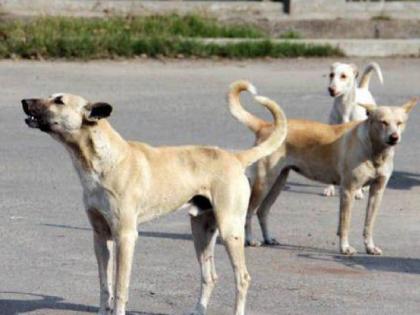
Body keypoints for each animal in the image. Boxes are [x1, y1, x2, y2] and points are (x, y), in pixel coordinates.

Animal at [324, 62, 384, 199]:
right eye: (331, 75)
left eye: (343, 76)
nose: (331, 89)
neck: (344, 107)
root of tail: (363, 89)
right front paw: (329, 188)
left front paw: (357, 191)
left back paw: (364, 187)